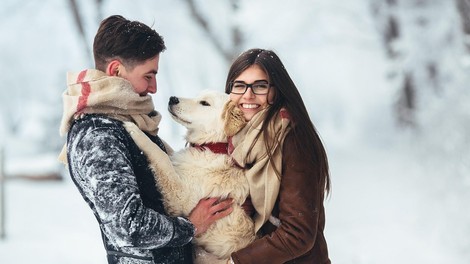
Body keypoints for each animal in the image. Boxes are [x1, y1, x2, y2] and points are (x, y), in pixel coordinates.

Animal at [124, 90, 253, 262]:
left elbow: (161, 156)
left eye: (204, 103)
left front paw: (135, 130)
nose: (172, 99)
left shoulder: (181, 198)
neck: (211, 146)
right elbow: (166, 153)